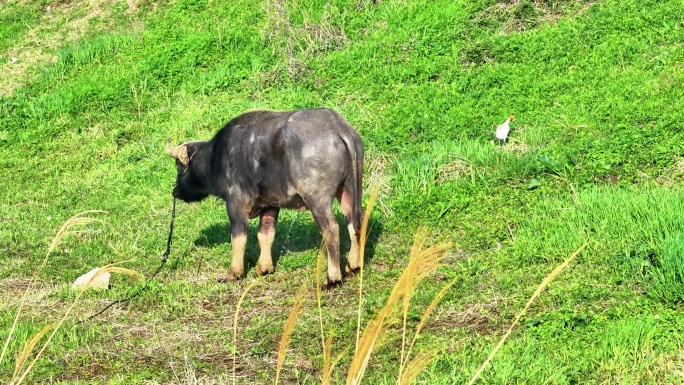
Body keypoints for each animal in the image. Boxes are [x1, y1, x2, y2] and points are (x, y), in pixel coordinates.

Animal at [166, 107, 364, 284]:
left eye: (178, 166)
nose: (175, 191)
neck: (216, 158)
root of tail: (338, 127)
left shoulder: (235, 204)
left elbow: (238, 238)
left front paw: (233, 274)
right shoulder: (270, 206)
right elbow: (266, 235)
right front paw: (264, 268)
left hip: (317, 199)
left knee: (331, 229)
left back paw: (332, 278)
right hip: (350, 189)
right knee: (354, 222)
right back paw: (353, 266)